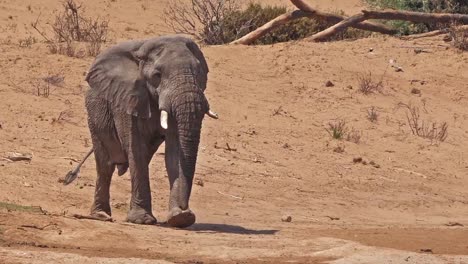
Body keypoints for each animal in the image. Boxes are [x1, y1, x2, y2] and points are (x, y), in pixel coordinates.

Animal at [63, 35, 218, 228]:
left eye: (199, 72)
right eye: (157, 75)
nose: (185, 208)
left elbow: (174, 153)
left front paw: (179, 218)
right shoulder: (129, 97)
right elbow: (136, 150)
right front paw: (142, 220)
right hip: (94, 114)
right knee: (105, 164)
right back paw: (100, 215)